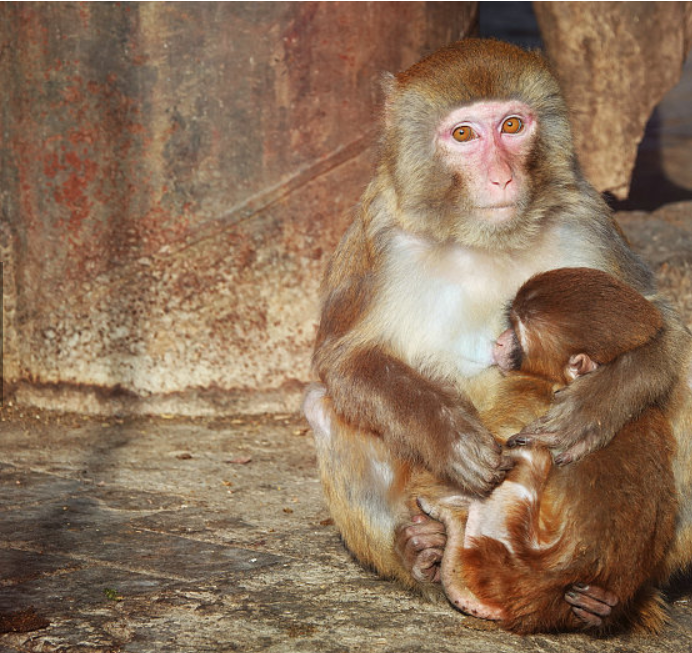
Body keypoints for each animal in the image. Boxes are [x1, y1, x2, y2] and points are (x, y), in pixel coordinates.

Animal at [416, 264, 676, 632]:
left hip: (503, 528)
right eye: (508, 323)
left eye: (517, 333)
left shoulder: (526, 389)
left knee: (526, 458)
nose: (499, 340)